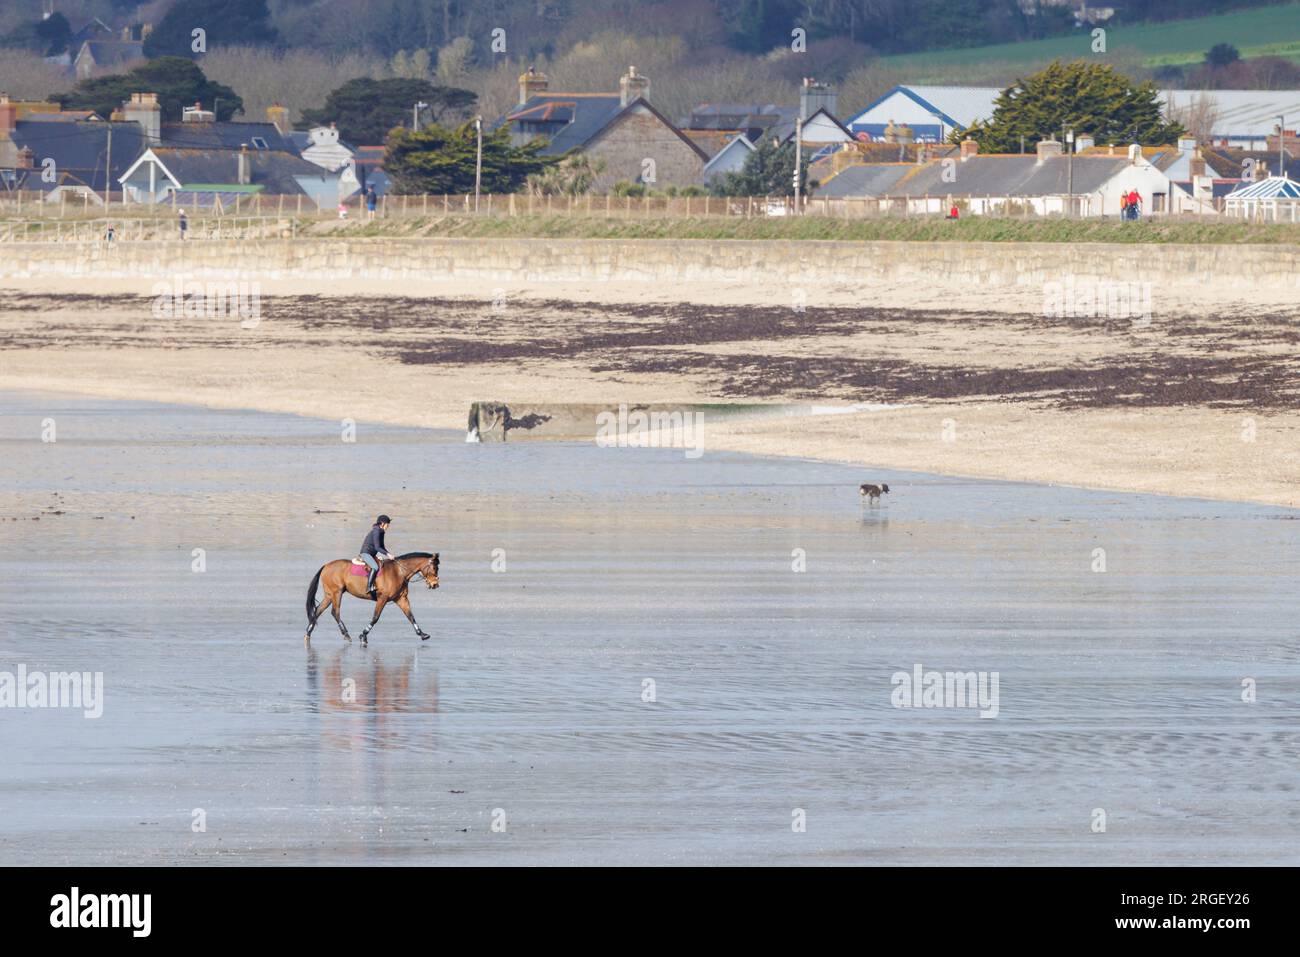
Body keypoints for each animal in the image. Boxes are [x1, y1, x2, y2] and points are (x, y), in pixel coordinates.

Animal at [305, 553, 441, 642]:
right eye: (435, 567)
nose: (435, 584)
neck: (399, 572)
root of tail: (326, 565)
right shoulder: (383, 598)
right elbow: (375, 617)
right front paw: (363, 635)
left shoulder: (401, 599)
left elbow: (410, 616)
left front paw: (422, 634)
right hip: (336, 593)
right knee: (335, 612)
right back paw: (346, 634)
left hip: (330, 595)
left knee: (318, 611)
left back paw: (308, 633)